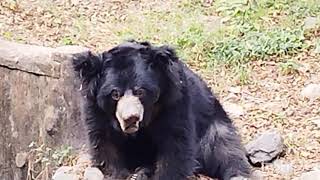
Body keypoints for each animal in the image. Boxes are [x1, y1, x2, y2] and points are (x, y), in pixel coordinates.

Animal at [72, 40, 250, 180]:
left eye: (140, 91)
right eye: (115, 94)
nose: (131, 118)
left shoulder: (173, 100)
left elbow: (175, 146)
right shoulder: (95, 110)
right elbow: (105, 145)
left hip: (213, 123)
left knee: (223, 148)